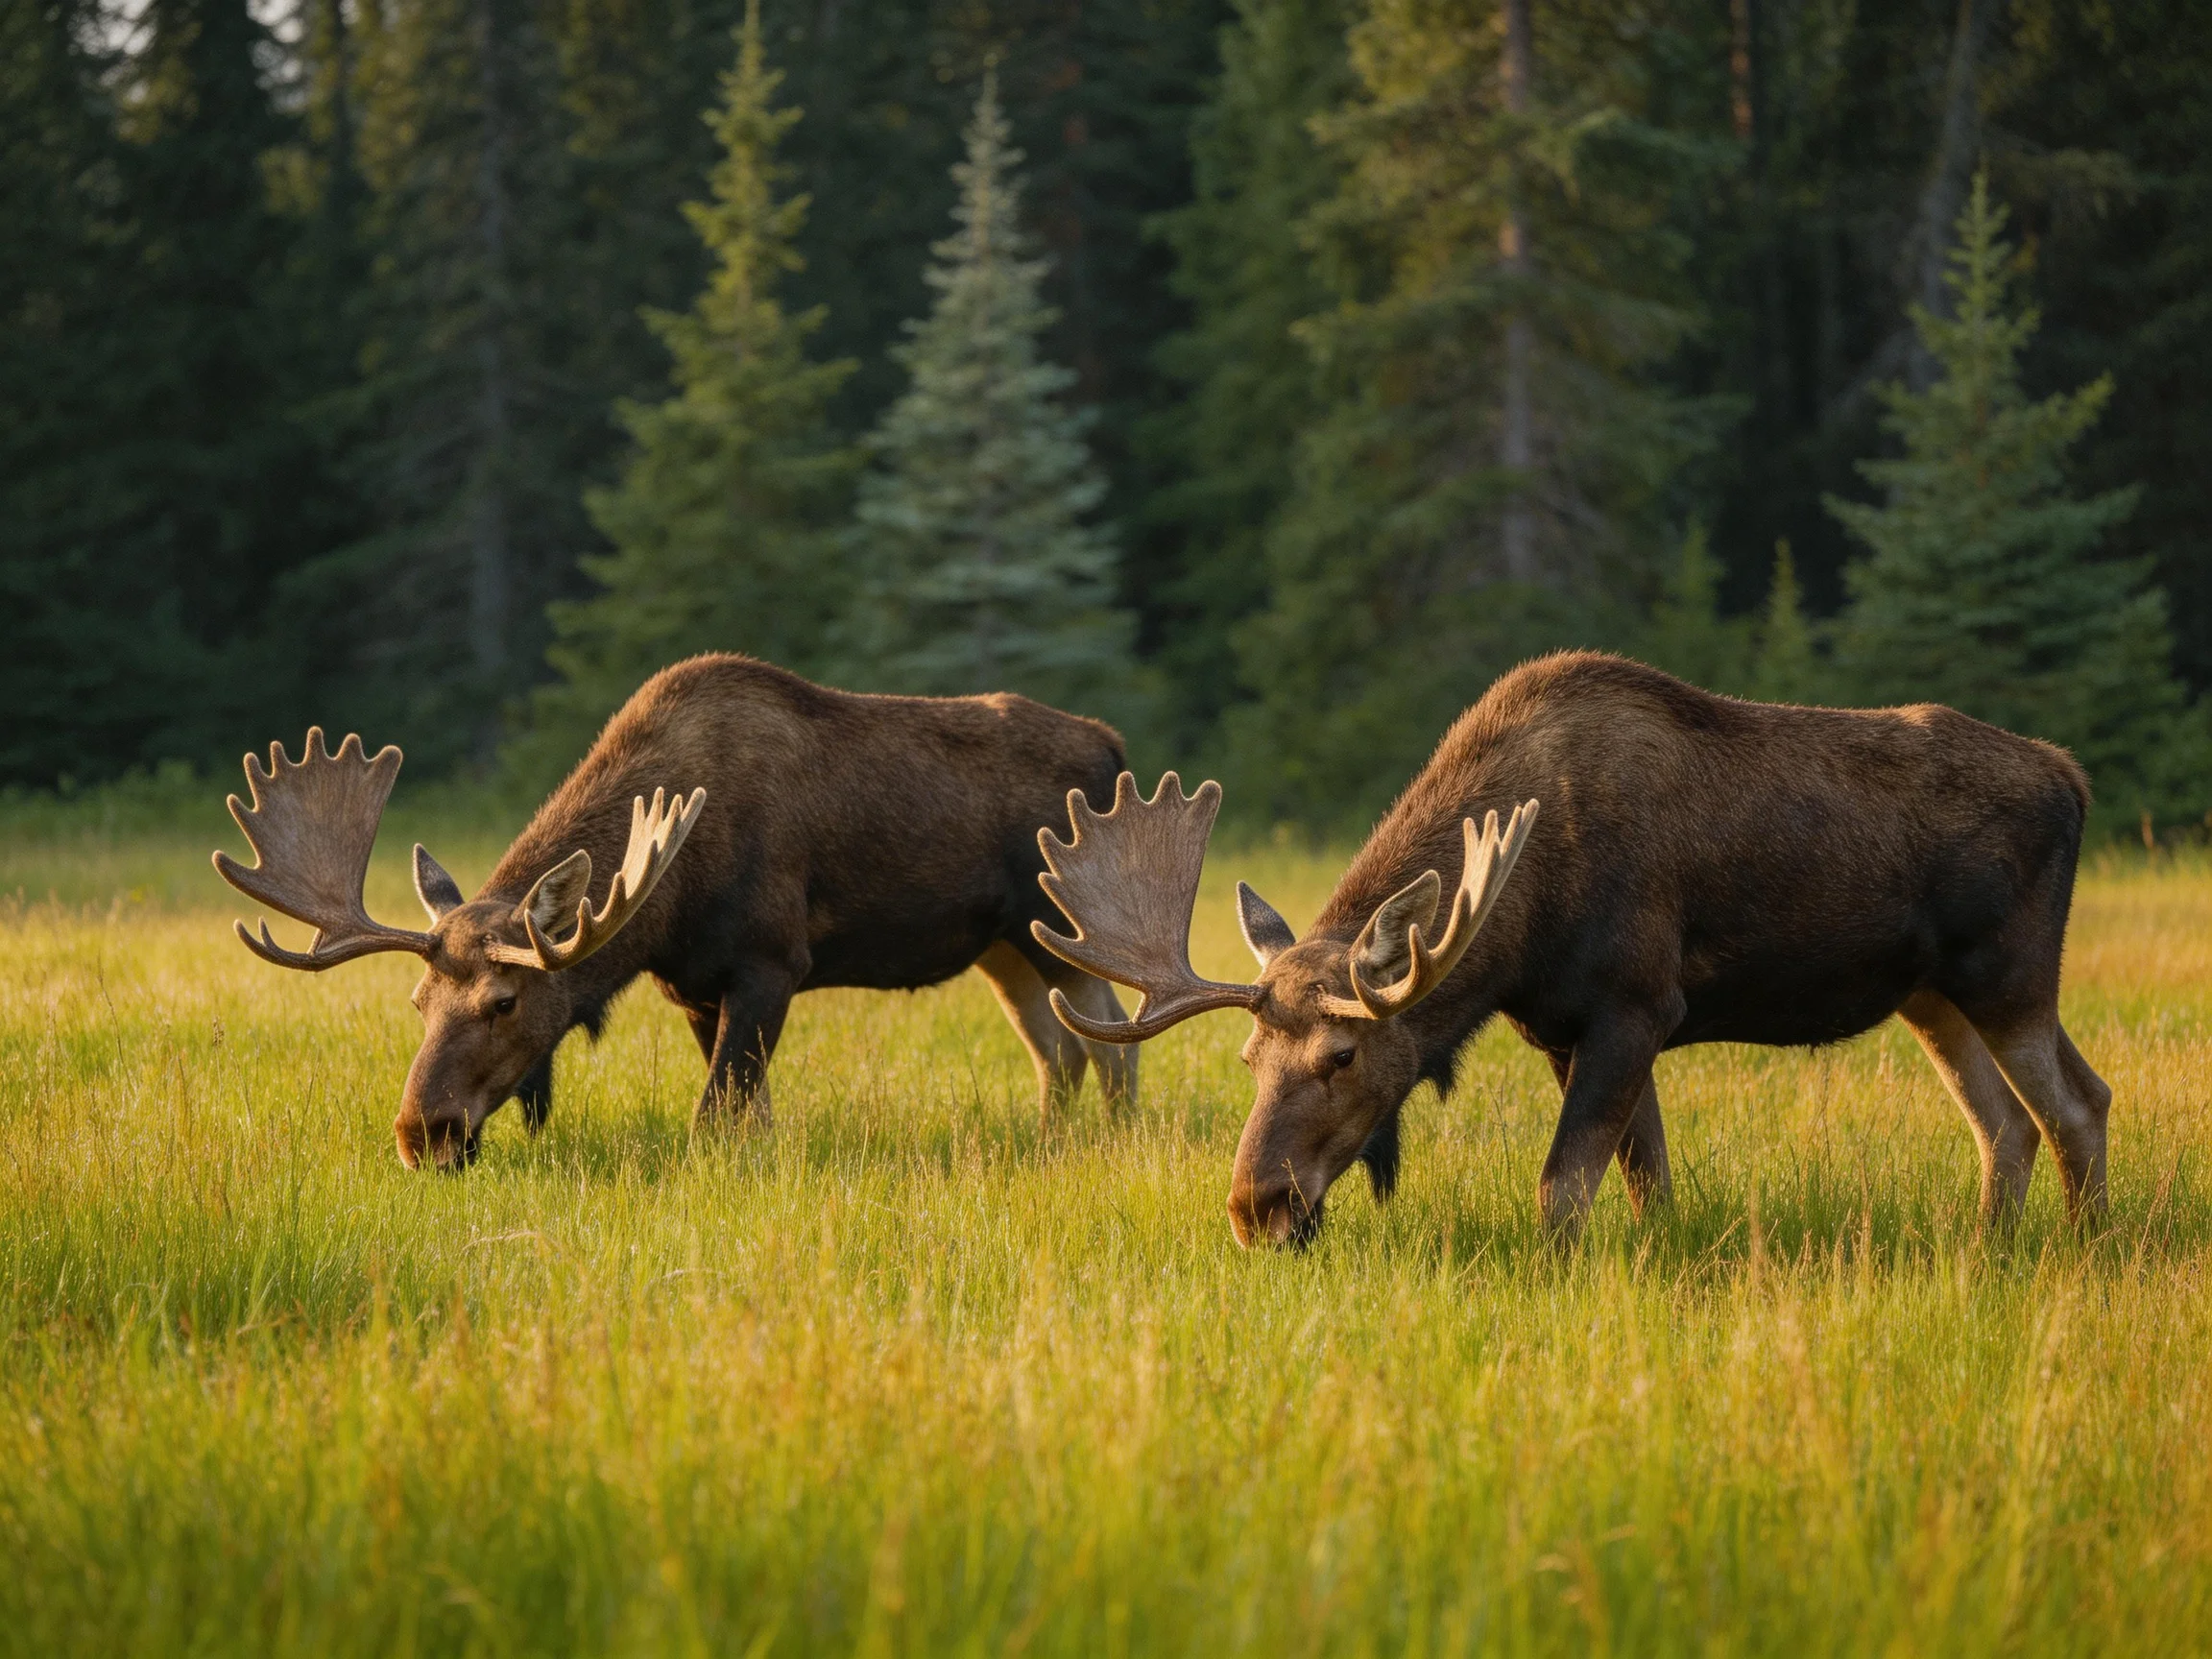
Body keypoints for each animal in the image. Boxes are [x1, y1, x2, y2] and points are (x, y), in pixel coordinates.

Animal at [213, 655, 1140, 1169]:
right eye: (416, 1002)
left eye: (503, 1001)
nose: (421, 1135)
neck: (668, 901)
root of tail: (1113, 745)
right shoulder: (695, 985)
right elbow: (747, 1112)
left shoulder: (773, 960)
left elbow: (714, 1115)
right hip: (1001, 948)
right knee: (1058, 1047)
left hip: (1053, 924)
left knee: (1108, 1032)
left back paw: (1116, 1137)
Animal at [1030, 651, 2113, 1247]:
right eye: (1251, 1057)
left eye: (1341, 1056)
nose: (1256, 1206)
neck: (1520, 919)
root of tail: (2074, 778)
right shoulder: (1561, 1026)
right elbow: (1648, 1181)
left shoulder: (1639, 1003)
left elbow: (1564, 1190)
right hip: (1930, 993)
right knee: (2007, 1122)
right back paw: (1988, 1250)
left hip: (2012, 973)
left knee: (2073, 1104)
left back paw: (2085, 1249)